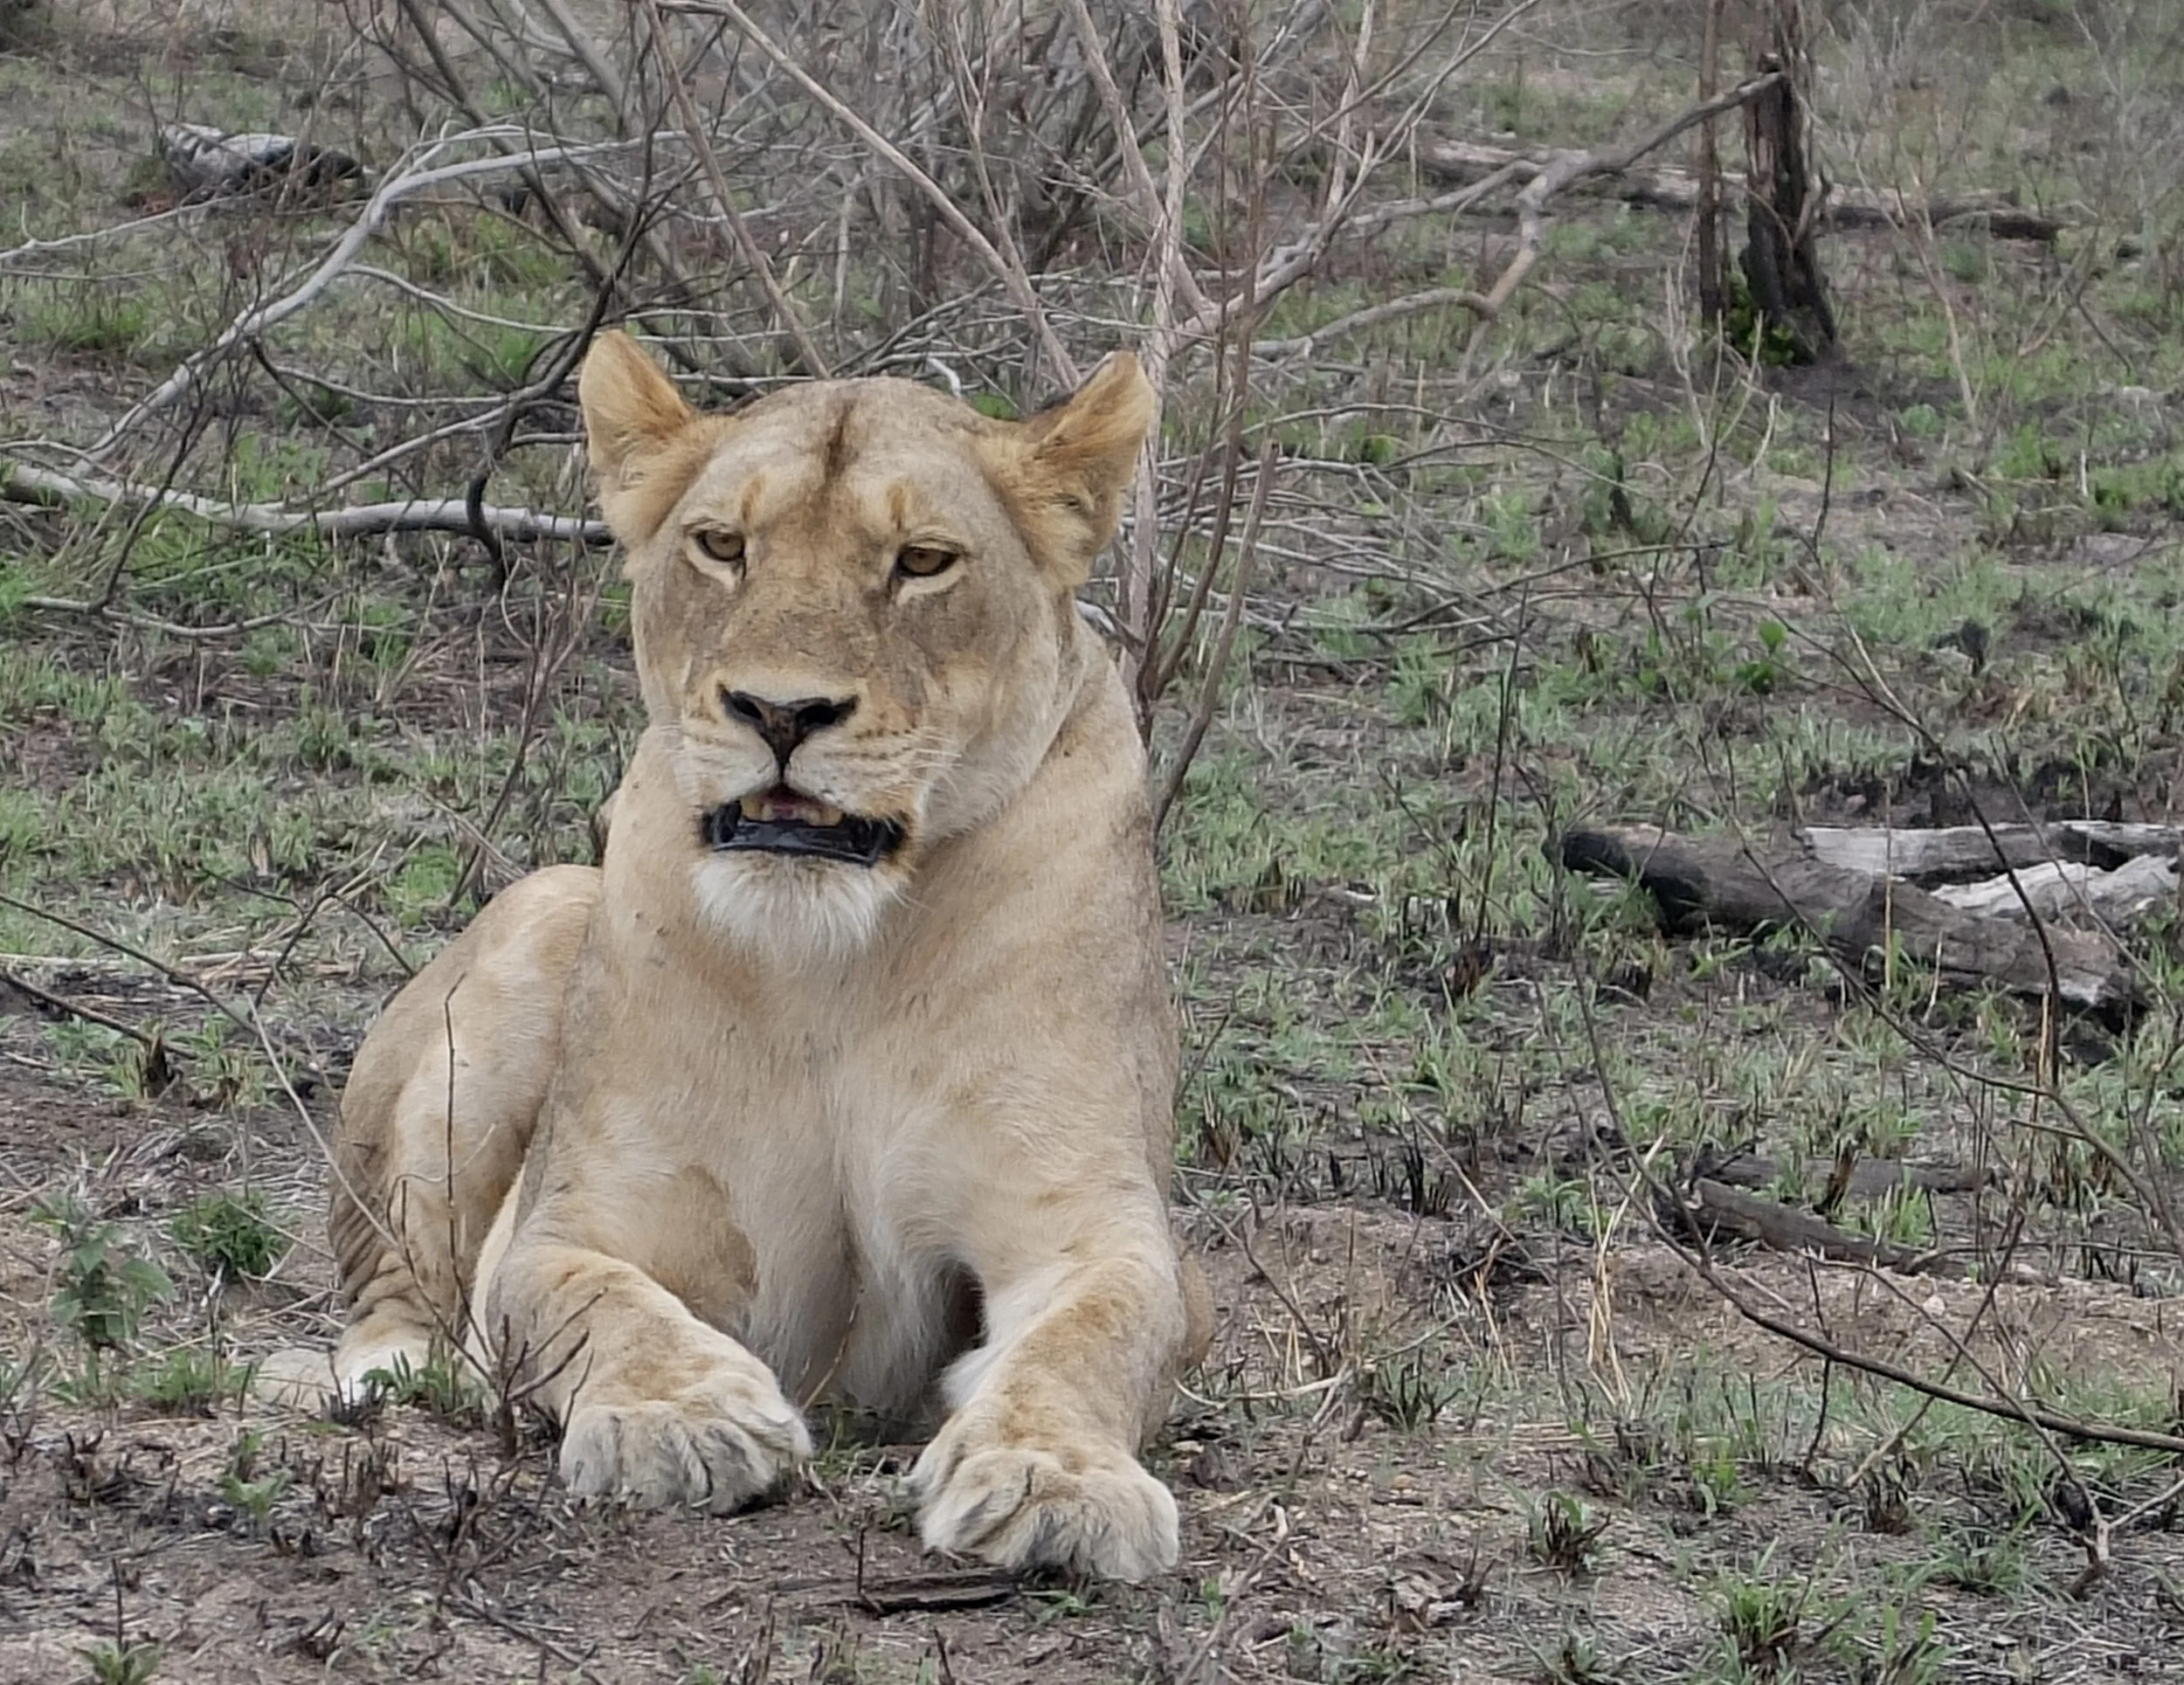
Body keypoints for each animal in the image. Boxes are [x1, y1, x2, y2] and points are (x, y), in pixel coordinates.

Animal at [312, 330, 1212, 1582]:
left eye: (922, 562)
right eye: (723, 546)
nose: (780, 714)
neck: (832, 961)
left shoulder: (1088, 1227)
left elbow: (1094, 1337)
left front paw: (1052, 1479)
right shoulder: (578, 1217)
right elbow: (586, 1300)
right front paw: (685, 1418)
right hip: (539, 914)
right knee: (399, 1288)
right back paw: (384, 1378)